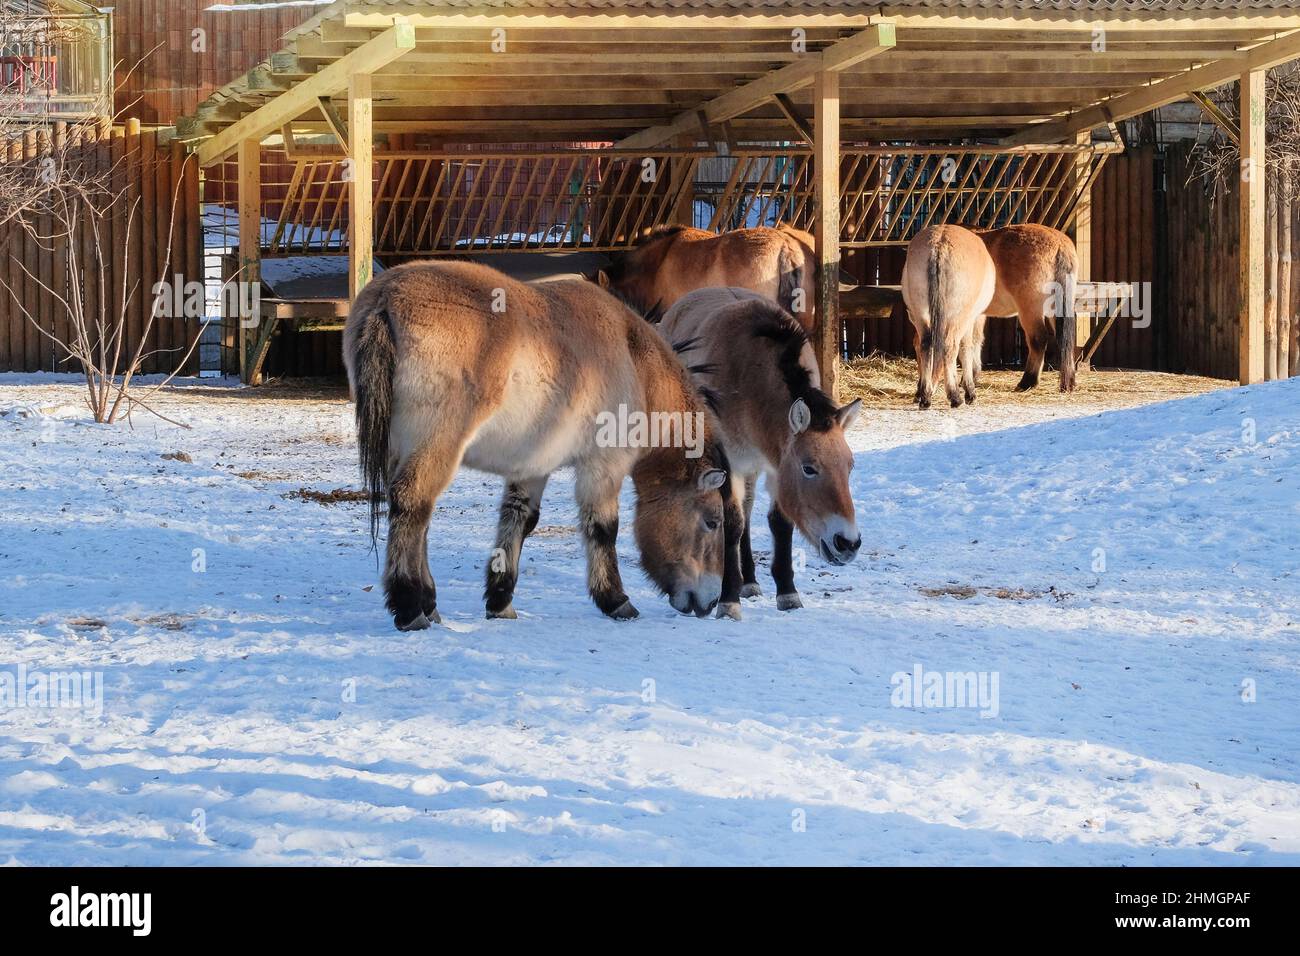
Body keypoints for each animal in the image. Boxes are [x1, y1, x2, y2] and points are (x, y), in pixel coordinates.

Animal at [660, 286, 863, 621]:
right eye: (809, 468)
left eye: (850, 466)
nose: (847, 543)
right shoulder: (726, 461)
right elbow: (730, 522)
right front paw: (728, 600)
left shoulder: (774, 466)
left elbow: (778, 523)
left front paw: (787, 593)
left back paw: (750, 581)